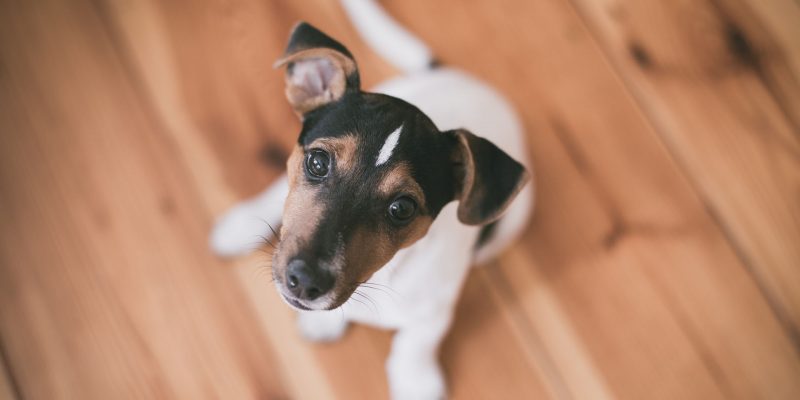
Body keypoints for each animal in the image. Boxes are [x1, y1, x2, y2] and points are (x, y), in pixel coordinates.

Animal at [212, 1, 536, 398]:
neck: (384, 274)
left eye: (402, 208)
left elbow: (416, 343)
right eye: (317, 162)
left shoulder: (435, 310)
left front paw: (415, 381)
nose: (304, 281)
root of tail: (466, 80)